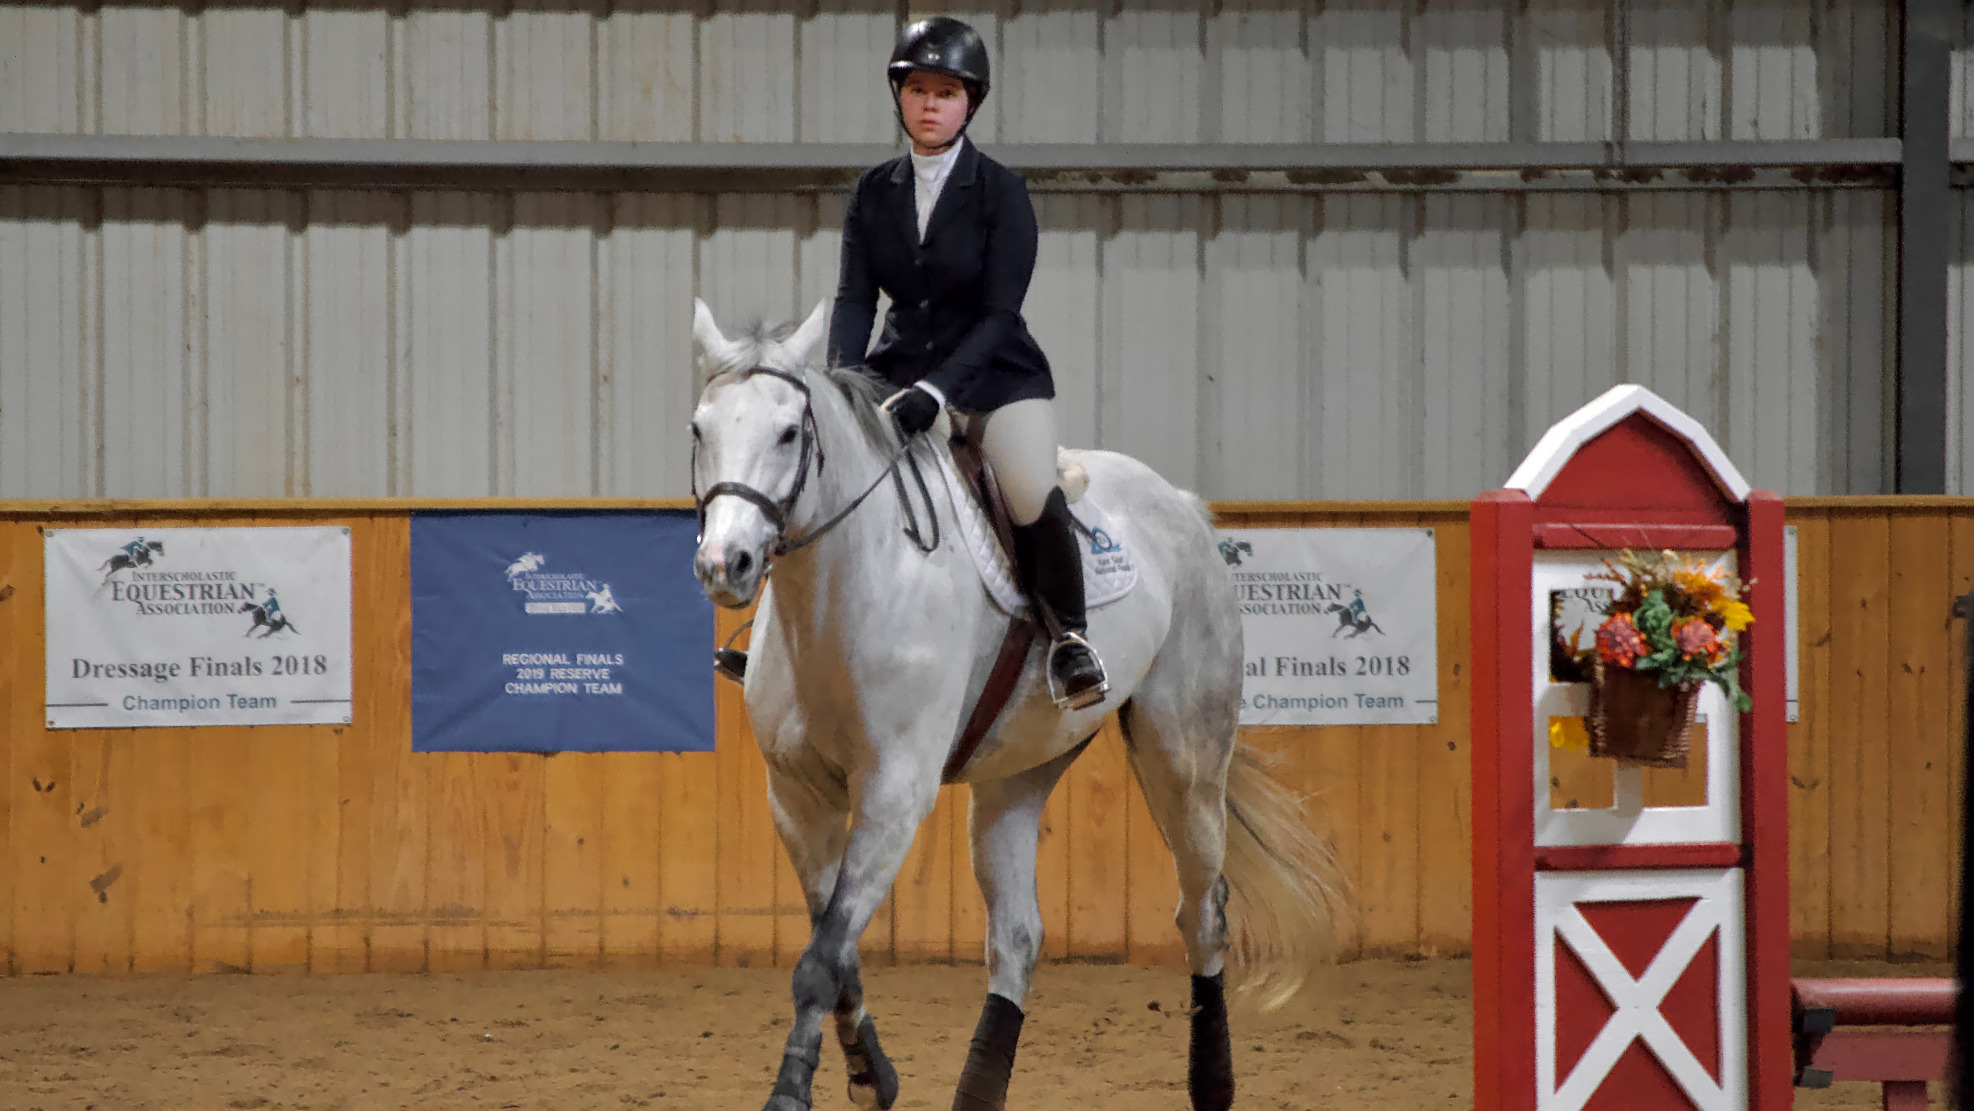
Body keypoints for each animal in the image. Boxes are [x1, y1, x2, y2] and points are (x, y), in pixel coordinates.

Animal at [687, 298, 1344, 1111]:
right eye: (700, 429)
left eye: (787, 432)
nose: (726, 565)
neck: (842, 592)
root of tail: (1184, 507)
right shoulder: (797, 796)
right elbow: (833, 950)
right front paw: (874, 1076)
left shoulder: (893, 796)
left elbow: (822, 957)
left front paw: (791, 1094)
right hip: (1017, 774)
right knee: (1019, 937)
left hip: (1184, 758)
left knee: (1204, 912)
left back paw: (1212, 1081)